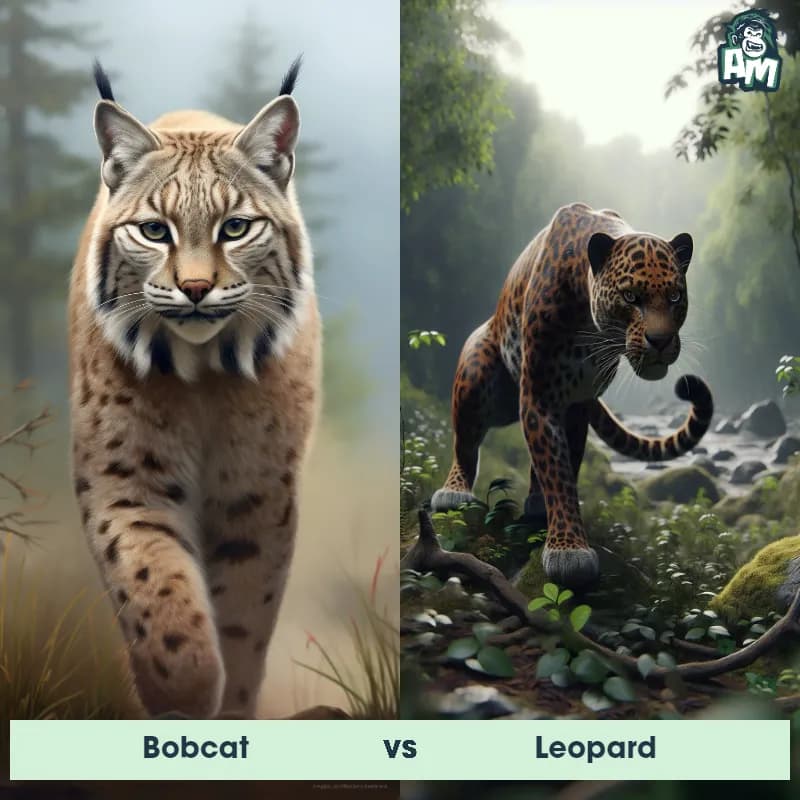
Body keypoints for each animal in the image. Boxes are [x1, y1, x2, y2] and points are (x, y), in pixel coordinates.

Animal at [69, 60, 320, 719]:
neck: (203, 370)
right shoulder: (126, 478)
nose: (197, 288)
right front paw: (181, 697)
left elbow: (245, 622)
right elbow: (156, 597)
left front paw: (231, 702)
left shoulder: (257, 493)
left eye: (236, 228)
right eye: (155, 231)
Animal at [431, 203, 713, 589]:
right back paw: (454, 492)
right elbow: (556, 469)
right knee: (466, 441)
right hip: (477, 373)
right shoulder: (539, 396)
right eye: (631, 297)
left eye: (674, 297)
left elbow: (565, 465)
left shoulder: (576, 402)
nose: (660, 341)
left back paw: (535, 501)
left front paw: (561, 530)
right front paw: (569, 552)